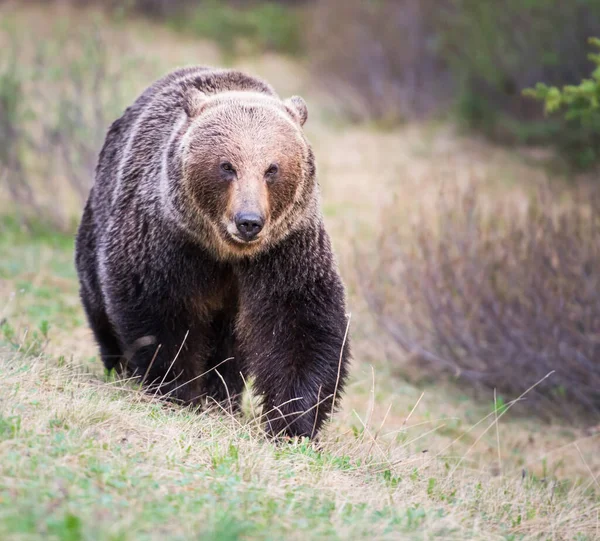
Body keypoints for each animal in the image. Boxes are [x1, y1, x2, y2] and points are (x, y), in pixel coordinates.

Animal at [75, 67, 350, 438]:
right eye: (227, 166)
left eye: (272, 168)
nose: (249, 221)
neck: (225, 252)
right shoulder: (168, 241)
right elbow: (159, 313)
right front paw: (178, 390)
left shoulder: (285, 250)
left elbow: (301, 324)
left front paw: (293, 420)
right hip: (98, 225)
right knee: (100, 309)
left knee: (231, 350)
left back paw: (224, 396)